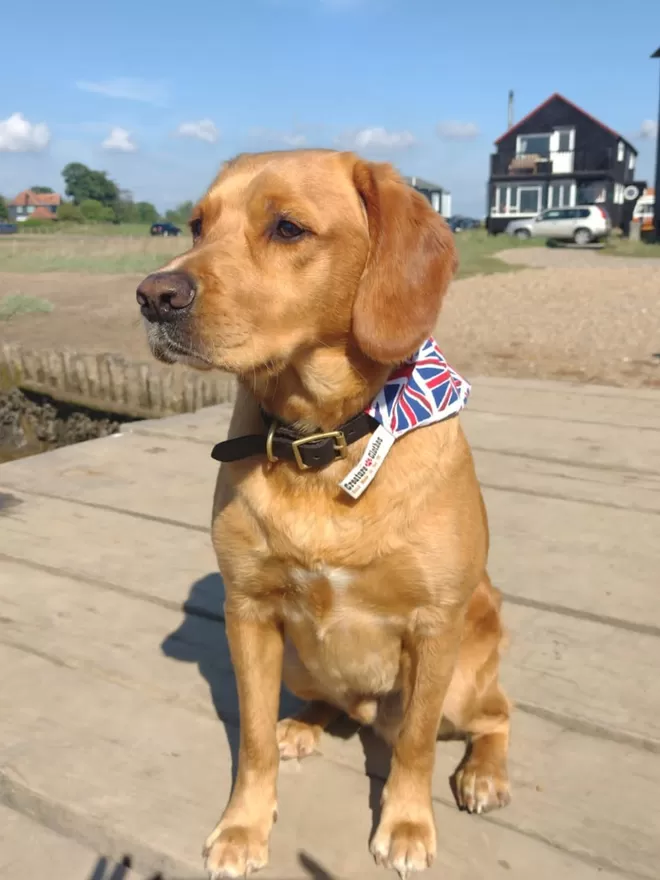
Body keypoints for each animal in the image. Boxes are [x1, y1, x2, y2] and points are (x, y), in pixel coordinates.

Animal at [138, 148, 510, 876]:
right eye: (197, 224)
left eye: (288, 228)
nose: (152, 295)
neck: (321, 440)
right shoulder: (249, 613)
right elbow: (251, 739)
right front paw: (244, 827)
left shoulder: (435, 627)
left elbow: (417, 746)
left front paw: (406, 824)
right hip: (299, 662)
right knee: (332, 708)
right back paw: (306, 726)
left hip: (463, 676)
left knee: (494, 717)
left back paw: (485, 771)